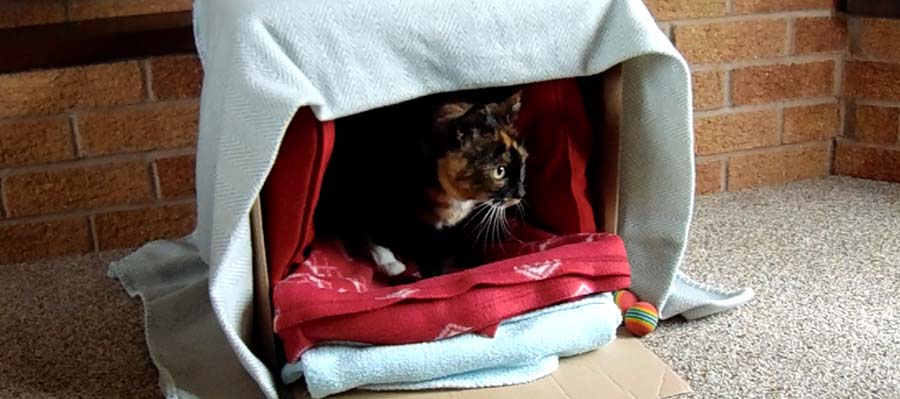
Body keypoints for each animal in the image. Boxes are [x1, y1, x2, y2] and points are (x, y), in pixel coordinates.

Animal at [316, 91, 528, 278]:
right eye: (499, 171)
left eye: (523, 162)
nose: (521, 193)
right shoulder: (409, 223)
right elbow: (423, 254)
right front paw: (434, 275)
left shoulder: (455, 227)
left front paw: (471, 260)